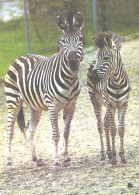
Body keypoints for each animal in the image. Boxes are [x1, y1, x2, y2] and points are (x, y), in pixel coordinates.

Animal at [4, 12, 83, 171]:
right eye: (63, 41)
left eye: (81, 39)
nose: (72, 63)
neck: (70, 79)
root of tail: (21, 56)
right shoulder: (53, 107)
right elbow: (56, 134)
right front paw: (57, 162)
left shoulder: (71, 106)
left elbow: (66, 132)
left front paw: (67, 159)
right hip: (12, 101)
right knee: (10, 132)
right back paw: (8, 163)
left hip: (34, 106)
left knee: (30, 131)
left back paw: (37, 158)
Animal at [87, 32, 131, 166]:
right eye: (98, 57)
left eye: (106, 58)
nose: (93, 76)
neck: (117, 82)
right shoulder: (111, 105)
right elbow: (113, 129)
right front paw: (115, 159)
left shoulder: (123, 104)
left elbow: (121, 129)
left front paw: (122, 157)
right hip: (96, 101)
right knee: (100, 126)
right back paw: (103, 156)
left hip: (106, 103)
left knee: (105, 122)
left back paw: (109, 153)